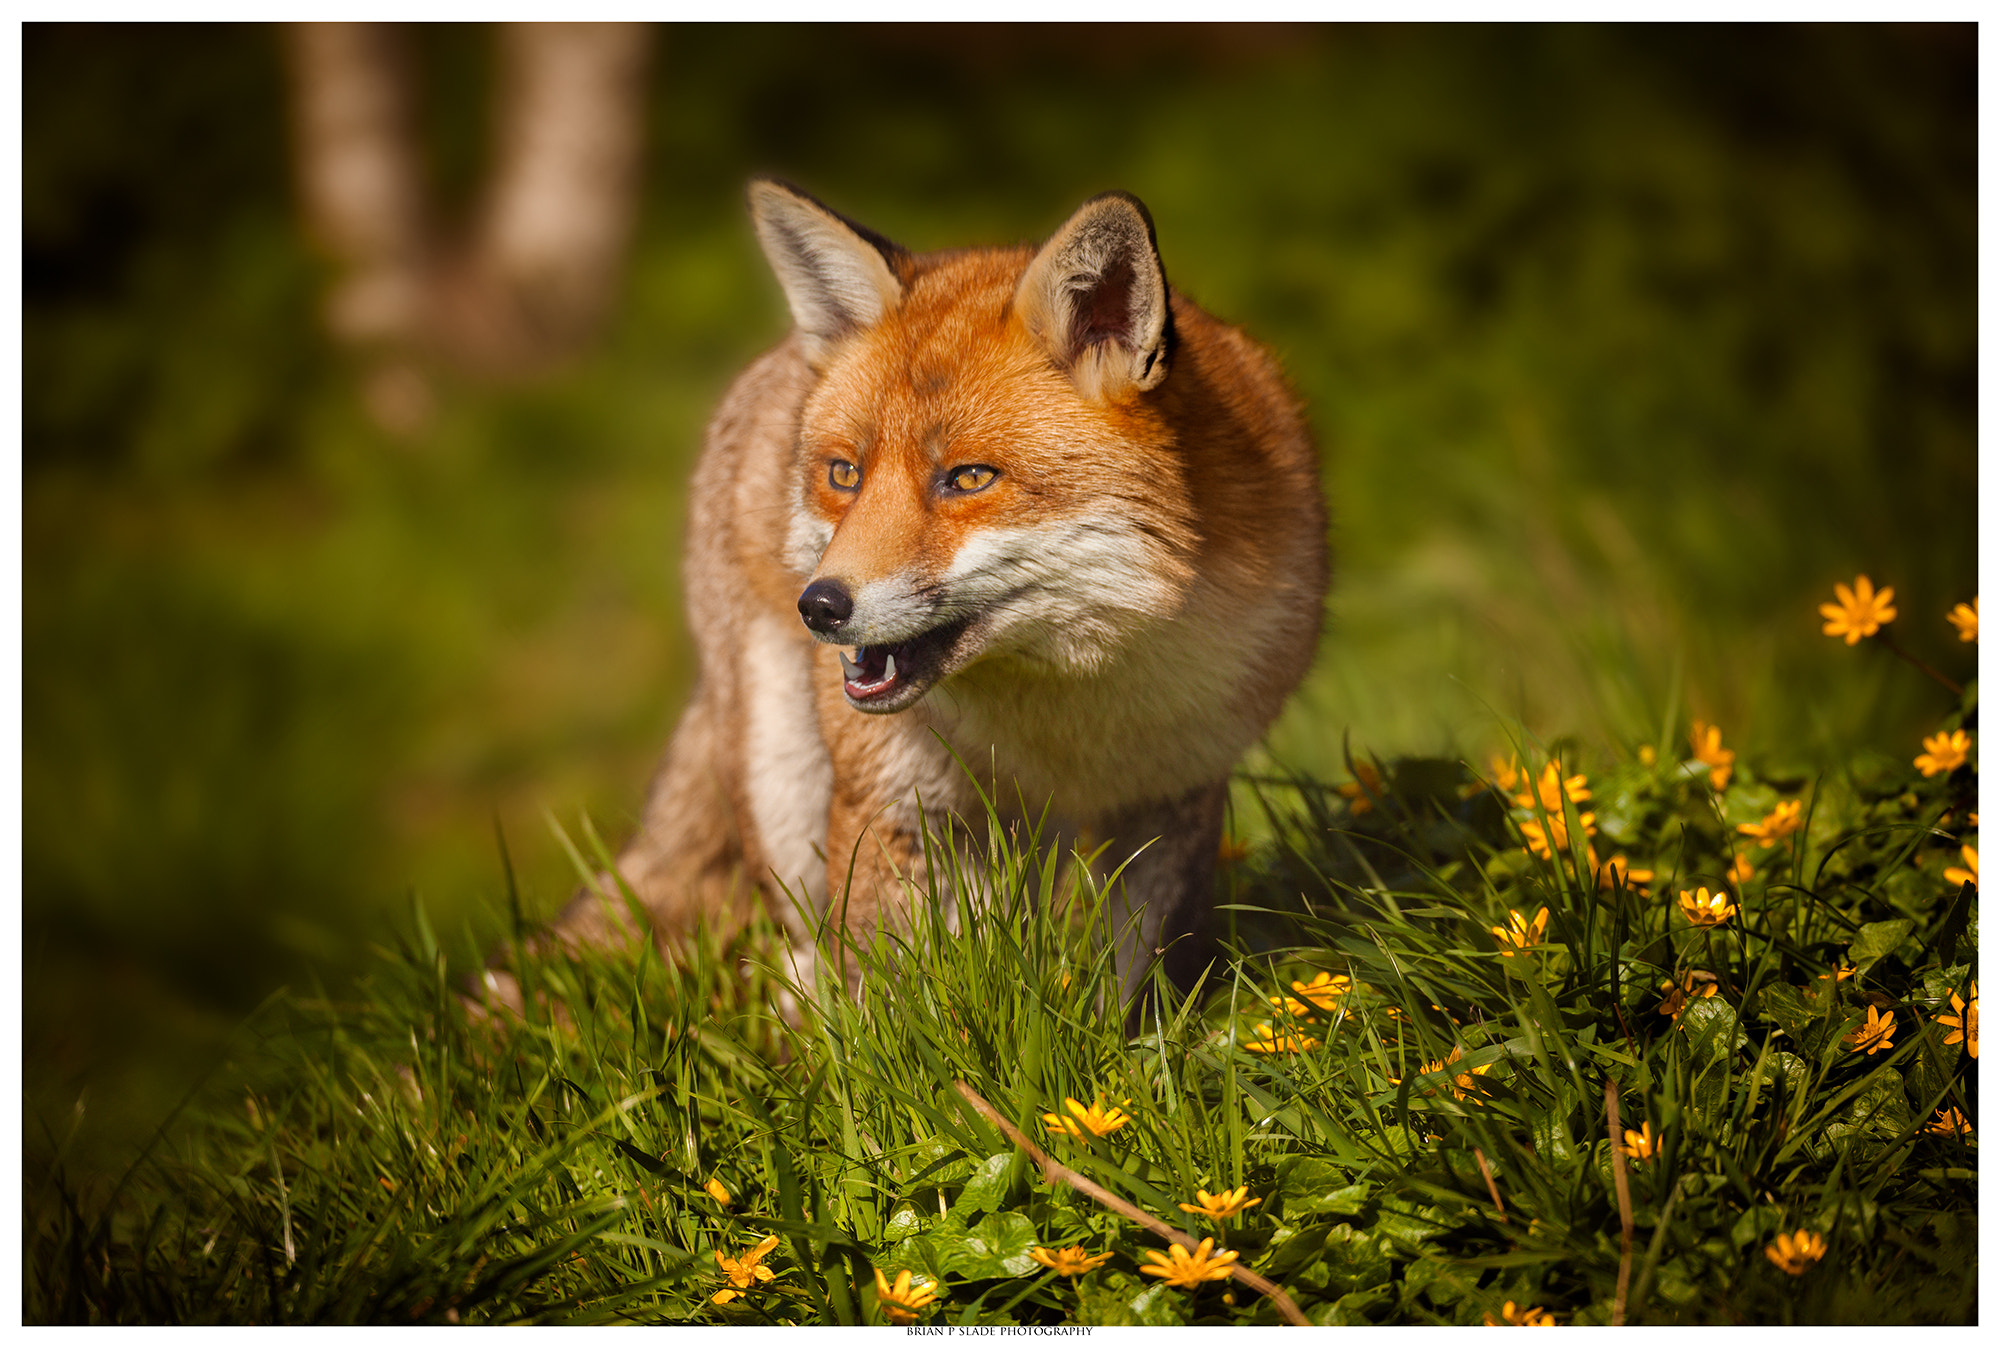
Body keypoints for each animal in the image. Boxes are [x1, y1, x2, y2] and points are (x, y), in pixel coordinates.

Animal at [505, 179, 1327, 1014]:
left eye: (967, 478)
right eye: (845, 474)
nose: (820, 607)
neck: (1062, 723)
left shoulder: (1172, 797)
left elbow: (1126, 984)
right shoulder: (895, 805)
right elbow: (895, 1009)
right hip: (786, 777)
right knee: (797, 932)